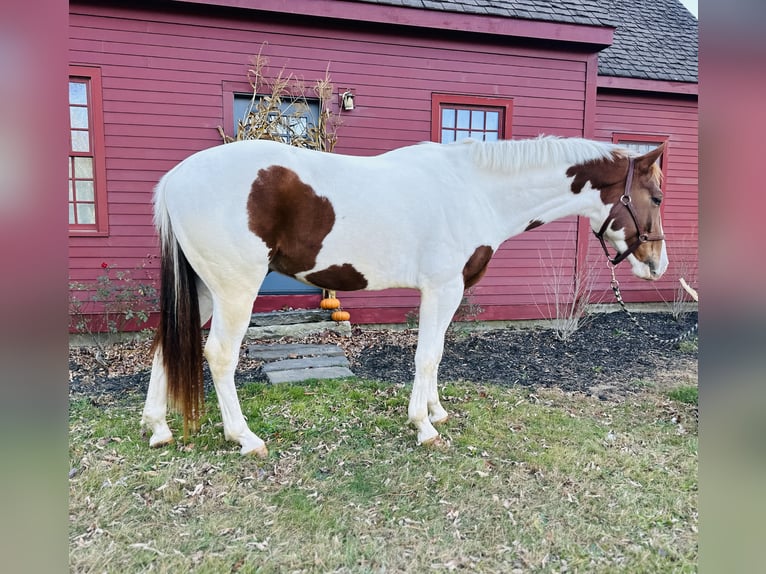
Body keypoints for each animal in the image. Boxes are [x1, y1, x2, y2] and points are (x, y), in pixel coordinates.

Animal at [141, 137, 668, 456]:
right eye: (658, 198)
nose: (658, 264)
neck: (475, 189)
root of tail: (175, 179)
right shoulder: (443, 287)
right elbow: (427, 355)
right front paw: (424, 426)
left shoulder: (448, 290)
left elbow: (437, 353)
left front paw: (435, 411)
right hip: (235, 290)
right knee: (219, 355)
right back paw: (244, 437)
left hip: (204, 289)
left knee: (165, 344)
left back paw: (158, 427)